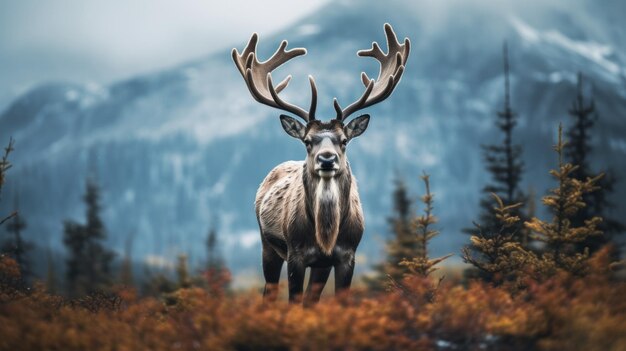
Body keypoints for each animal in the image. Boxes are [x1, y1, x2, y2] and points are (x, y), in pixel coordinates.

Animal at [230, 24, 410, 306]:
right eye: (307, 141)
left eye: (344, 140)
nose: (327, 159)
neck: (326, 235)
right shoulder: (296, 254)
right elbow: (293, 303)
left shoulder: (347, 255)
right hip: (267, 245)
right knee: (269, 293)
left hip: (319, 266)